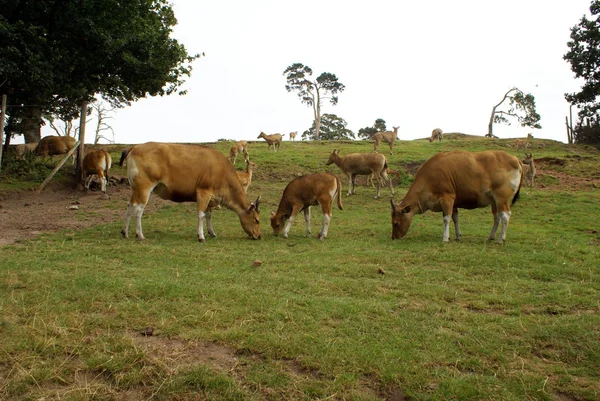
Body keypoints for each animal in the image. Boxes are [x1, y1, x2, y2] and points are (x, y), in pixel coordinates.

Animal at [121, 141, 260, 241]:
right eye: (257, 220)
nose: (259, 236)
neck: (221, 170)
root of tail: (135, 147)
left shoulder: (211, 198)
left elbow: (208, 215)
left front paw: (212, 232)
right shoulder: (203, 192)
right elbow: (201, 214)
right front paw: (201, 236)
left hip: (134, 188)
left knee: (130, 205)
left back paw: (125, 233)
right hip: (144, 187)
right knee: (139, 210)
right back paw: (140, 235)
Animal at [392, 150, 524, 242]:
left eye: (396, 223)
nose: (393, 237)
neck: (429, 178)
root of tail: (515, 159)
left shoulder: (447, 198)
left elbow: (446, 218)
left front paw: (445, 238)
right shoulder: (454, 202)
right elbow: (455, 218)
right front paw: (457, 236)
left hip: (502, 198)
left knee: (505, 215)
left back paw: (501, 239)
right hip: (494, 200)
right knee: (497, 217)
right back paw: (490, 237)